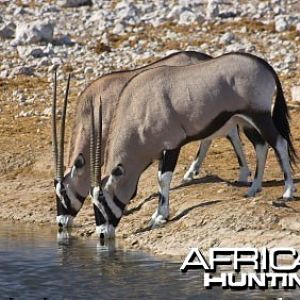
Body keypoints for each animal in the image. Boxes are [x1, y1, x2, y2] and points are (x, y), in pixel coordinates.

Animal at [52, 51, 251, 229]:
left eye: (64, 192)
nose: (61, 222)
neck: (92, 108)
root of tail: (206, 58)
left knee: (231, 132)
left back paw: (243, 174)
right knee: (215, 136)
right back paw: (191, 173)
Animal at [95, 52, 296, 239]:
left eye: (103, 198)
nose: (102, 233)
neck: (140, 106)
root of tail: (264, 66)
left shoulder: (171, 145)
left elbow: (163, 178)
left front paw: (159, 217)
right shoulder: (161, 152)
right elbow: (160, 179)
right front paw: (157, 215)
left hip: (259, 115)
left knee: (279, 143)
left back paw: (287, 191)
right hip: (245, 120)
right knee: (261, 146)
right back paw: (254, 188)